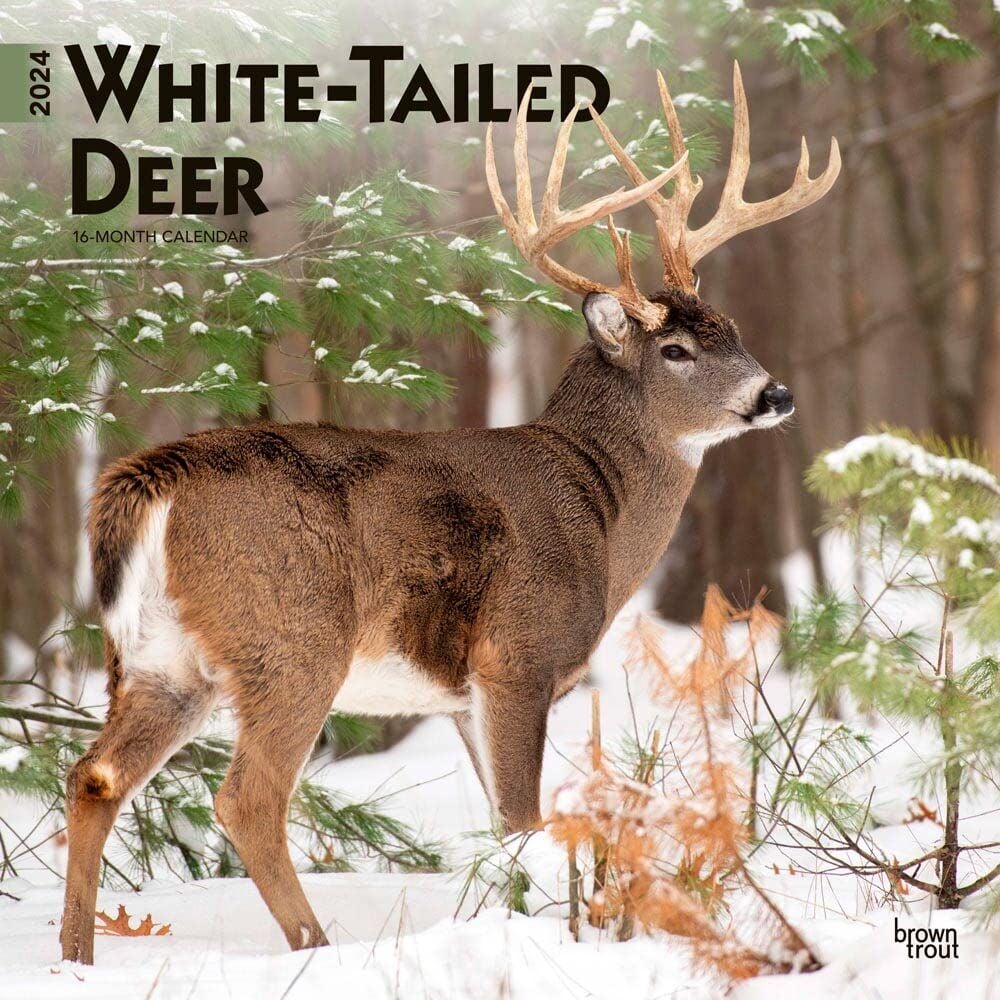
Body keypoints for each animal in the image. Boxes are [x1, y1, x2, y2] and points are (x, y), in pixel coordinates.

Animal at [60, 63, 839, 964]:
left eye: (733, 329)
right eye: (676, 350)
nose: (775, 394)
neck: (600, 511)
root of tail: (150, 480)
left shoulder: (464, 696)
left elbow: (507, 832)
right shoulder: (518, 658)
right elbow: (526, 821)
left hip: (161, 660)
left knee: (95, 775)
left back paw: (75, 959)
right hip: (291, 639)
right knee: (248, 799)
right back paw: (315, 946)